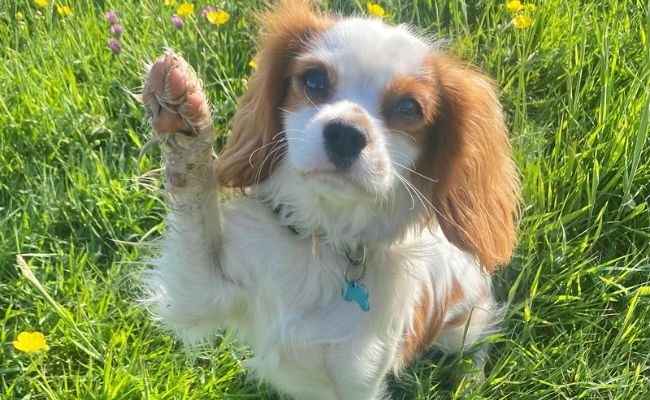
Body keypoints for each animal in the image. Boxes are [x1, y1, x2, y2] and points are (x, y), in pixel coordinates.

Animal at [139, 1, 520, 398]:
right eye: (313, 81)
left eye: (409, 108)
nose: (346, 134)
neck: (322, 239)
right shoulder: (199, 292)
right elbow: (194, 209)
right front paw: (183, 116)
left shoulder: (358, 380)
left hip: (462, 322)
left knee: (479, 336)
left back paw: (470, 378)